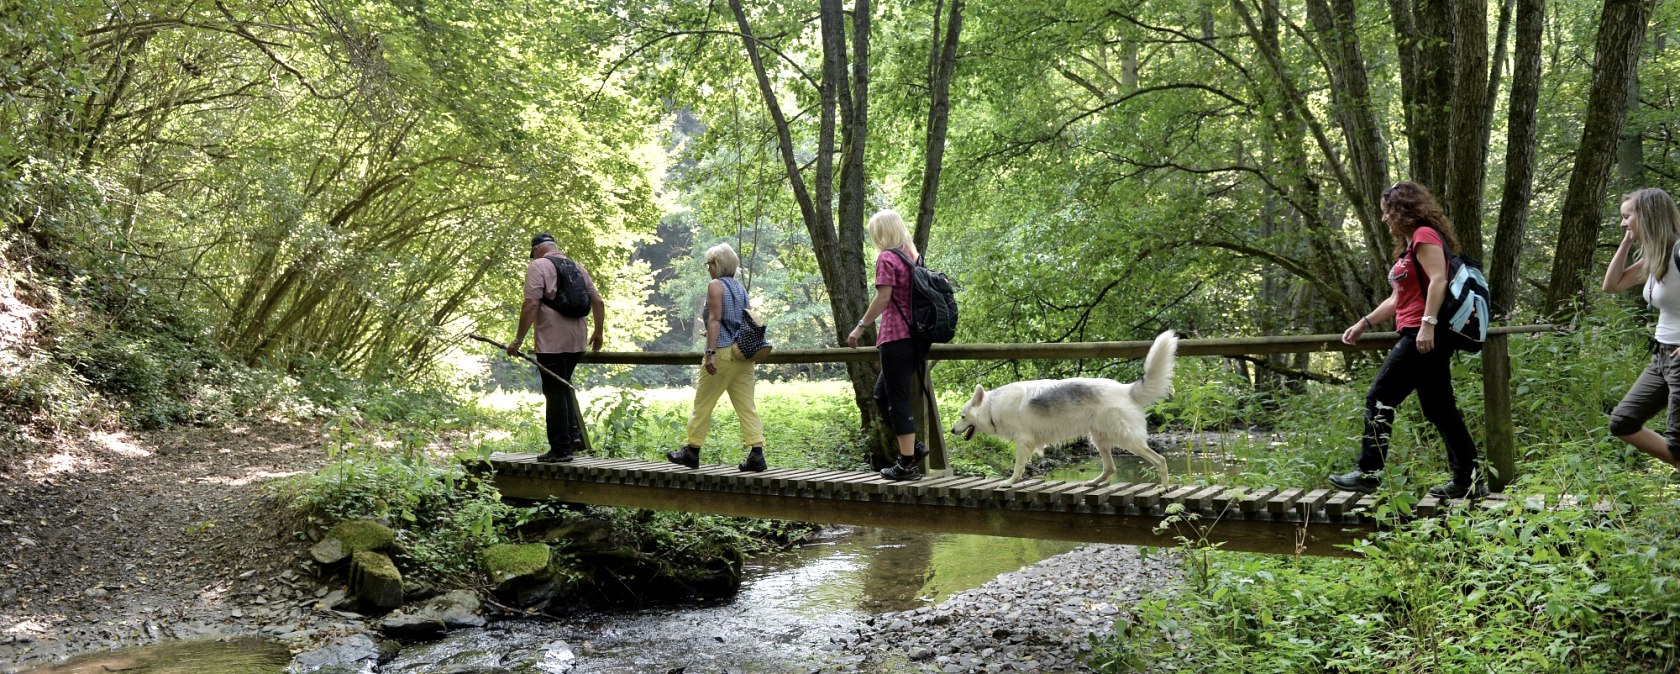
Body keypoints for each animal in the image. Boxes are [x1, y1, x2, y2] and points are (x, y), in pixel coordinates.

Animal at [954, 329, 1176, 484]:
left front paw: (1009, 482)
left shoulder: (1022, 442)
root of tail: (1126, 389)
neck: (992, 406)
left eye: (963, 416)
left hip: (1128, 441)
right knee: (1110, 469)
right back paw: (1093, 483)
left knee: (1161, 461)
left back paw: (1163, 488)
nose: (951, 430)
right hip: (1100, 440)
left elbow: (1017, 468)